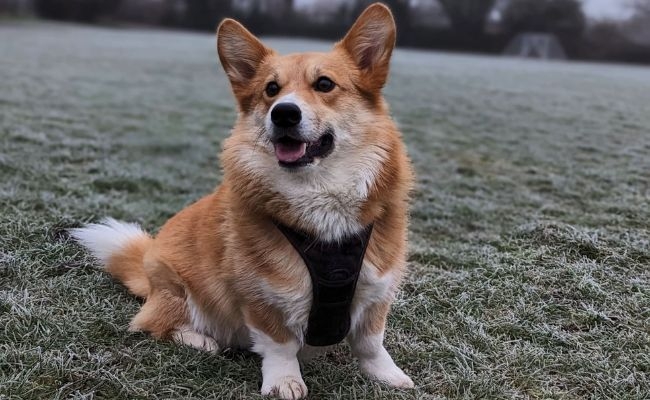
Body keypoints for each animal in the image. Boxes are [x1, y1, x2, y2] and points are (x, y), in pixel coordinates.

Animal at [71, 3, 412, 400]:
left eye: (325, 84)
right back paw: (201, 340)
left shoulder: (376, 286)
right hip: (176, 290)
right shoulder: (261, 294)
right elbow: (279, 344)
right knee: (151, 323)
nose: (283, 113)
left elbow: (371, 343)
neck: (319, 193)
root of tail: (146, 270)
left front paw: (387, 376)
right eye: (271, 89)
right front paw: (284, 381)